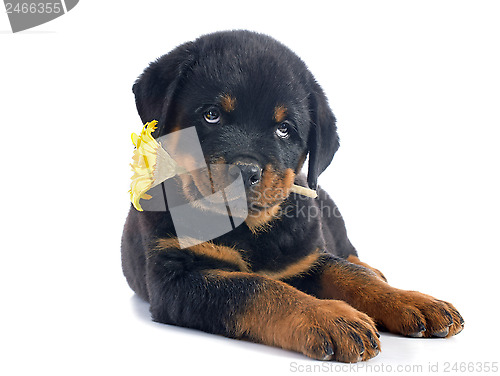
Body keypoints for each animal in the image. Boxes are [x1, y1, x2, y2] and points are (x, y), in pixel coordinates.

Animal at [122, 30, 464, 362]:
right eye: (211, 115)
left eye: (284, 129)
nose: (244, 171)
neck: (248, 229)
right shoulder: (175, 278)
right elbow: (257, 287)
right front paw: (330, 317)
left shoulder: (305, 257)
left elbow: (348, 273)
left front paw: (411, 299)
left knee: (352, 256)